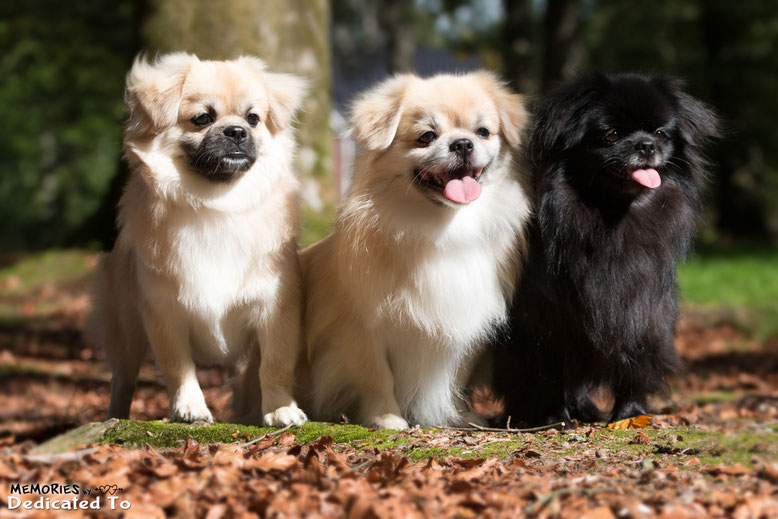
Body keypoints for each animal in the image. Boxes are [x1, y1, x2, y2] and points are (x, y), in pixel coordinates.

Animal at [89, 53, 308, 426]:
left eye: (253, 118)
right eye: (203, 118)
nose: (236, 131)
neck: (215, 203)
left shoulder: (275, 309)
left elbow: (274, 366)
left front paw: (280, 409)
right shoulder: (163, 313)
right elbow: (179, 368)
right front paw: (189, 408)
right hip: (125, 330)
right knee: (123, 379)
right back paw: (114, 417)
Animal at [298, 73, 532, 430]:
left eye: (483, 132)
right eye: (426, 137)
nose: (462, 143)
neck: (443, 228)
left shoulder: (466, 324)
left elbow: (456, 375)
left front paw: (459, 416)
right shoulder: (361, 329)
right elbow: (376, 377)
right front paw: (387, 418)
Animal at [494, 72, 720, 426]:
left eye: (660, 133)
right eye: (611, 135)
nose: (646, 145)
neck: (613, 216)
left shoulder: (641, 308)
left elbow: (635, 363)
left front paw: (631, 413)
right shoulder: (546, 319)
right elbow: (548, 372)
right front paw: (553, 417)